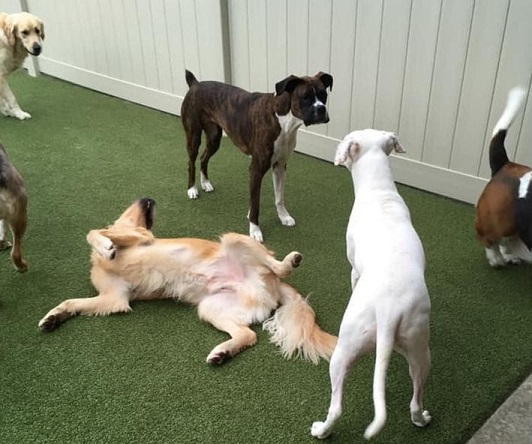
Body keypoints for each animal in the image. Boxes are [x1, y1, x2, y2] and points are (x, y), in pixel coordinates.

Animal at [38, 199, 336, 366]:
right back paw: (222, 353)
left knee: (277, 266)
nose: (149, 197)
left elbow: (93, 232)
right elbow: (72, 301)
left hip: (234, 239)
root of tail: (274, 286)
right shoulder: (115, 298)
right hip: (212, 308)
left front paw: (105, 246)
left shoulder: (141, 237)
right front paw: (54, 316)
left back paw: (289, 262)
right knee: (248, 335)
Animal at [183, 70, 332, 243]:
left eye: (323, 95)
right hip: (193, 136)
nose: (321, 109)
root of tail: (195, 84)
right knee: (191, 162)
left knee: (203, 158)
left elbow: (279, 197)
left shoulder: (280, 166)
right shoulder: (256, 170)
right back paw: (192, 189)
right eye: (306, 97)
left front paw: (283, 217)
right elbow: (255, 204)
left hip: (214, 138)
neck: (283, 120)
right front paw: (254, 229)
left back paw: (205, 183)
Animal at [312, 129, 432, 440]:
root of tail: (389, 311)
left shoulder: (354, 268)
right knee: (415, 399)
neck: (379, 191)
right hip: (420, 349)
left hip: (343, 349)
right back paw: (421, 419)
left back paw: (321, 430)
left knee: (336, 407)